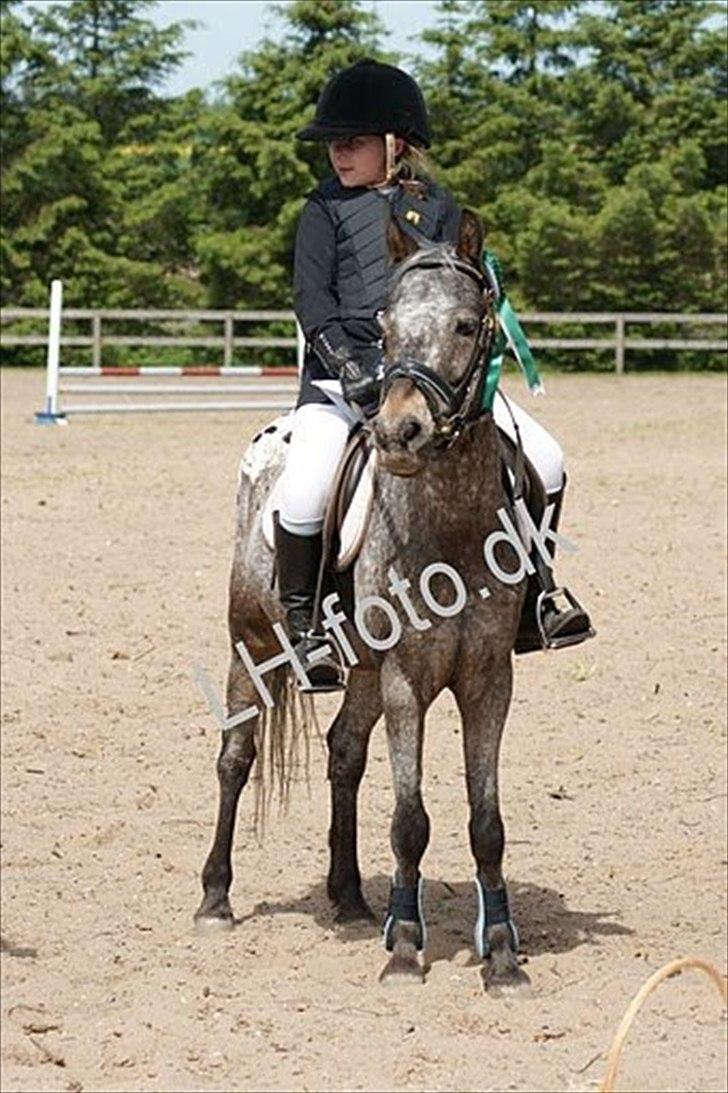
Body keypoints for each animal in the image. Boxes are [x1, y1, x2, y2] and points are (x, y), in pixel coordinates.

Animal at [195, 208, 530, 994]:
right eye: (385, 326)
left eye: (466, 324)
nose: (398, 431)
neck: (449, 522)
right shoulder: (409, 678)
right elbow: (411, 819)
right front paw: (406, 947)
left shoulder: (488, 679)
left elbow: (487, 821)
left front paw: (501, 954)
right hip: (251, 644)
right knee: (236, 755)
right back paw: (216, 897)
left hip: (365, 670)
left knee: (344, 753)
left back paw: (347, 894)